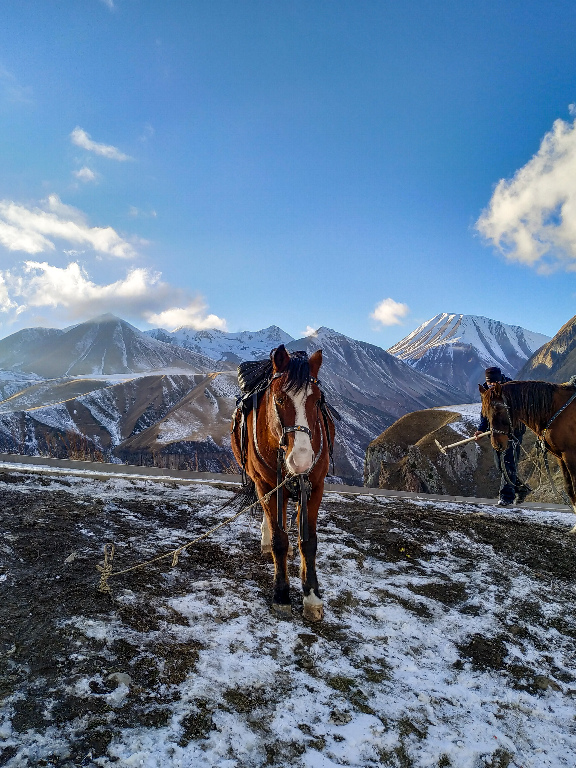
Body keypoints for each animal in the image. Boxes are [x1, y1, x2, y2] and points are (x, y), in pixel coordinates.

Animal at [231, 344, 336, 620]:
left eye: (317, 400)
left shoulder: (314, 487)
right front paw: (281, 595)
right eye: (279, 399)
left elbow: (308, 542)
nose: (301, 460)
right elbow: (280, 541)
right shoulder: (267, 486)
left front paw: (312, 596)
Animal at [480, 380, 576, 536]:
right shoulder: (561, 457)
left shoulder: (570, 455)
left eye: (499, 410)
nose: (497, 444)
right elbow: (569, 488)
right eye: (485, 414)